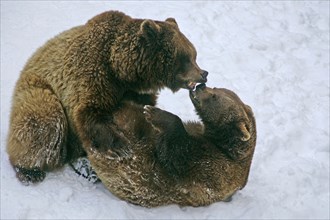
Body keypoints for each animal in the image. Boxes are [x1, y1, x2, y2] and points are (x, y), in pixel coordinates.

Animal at [6, 10, 208, 186]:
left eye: (194, 54)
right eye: (186, 57)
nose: (204, 73)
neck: (121, 71)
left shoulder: (135, 92)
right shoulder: (93, 74)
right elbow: (90, 111)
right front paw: (121, 147)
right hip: (38, 91)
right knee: (45, 122)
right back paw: (30, 170)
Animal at [87, 83, 258, 207]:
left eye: (215, 96)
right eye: (216, 88)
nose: (201, 86)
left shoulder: (216, 170)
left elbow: (176, 154)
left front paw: (153, 113)